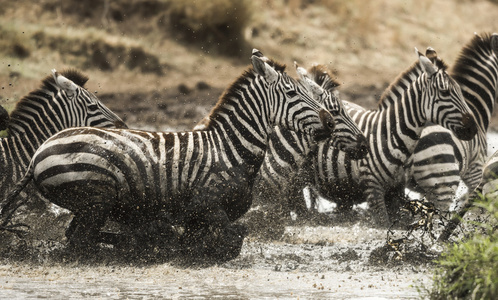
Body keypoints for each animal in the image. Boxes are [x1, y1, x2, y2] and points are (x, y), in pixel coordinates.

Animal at [306, 48, 476, 226]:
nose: (473, 128)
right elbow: (383, 224)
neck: (389, 135)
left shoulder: (396, 190)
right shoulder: (373, 189)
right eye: (445, 92)